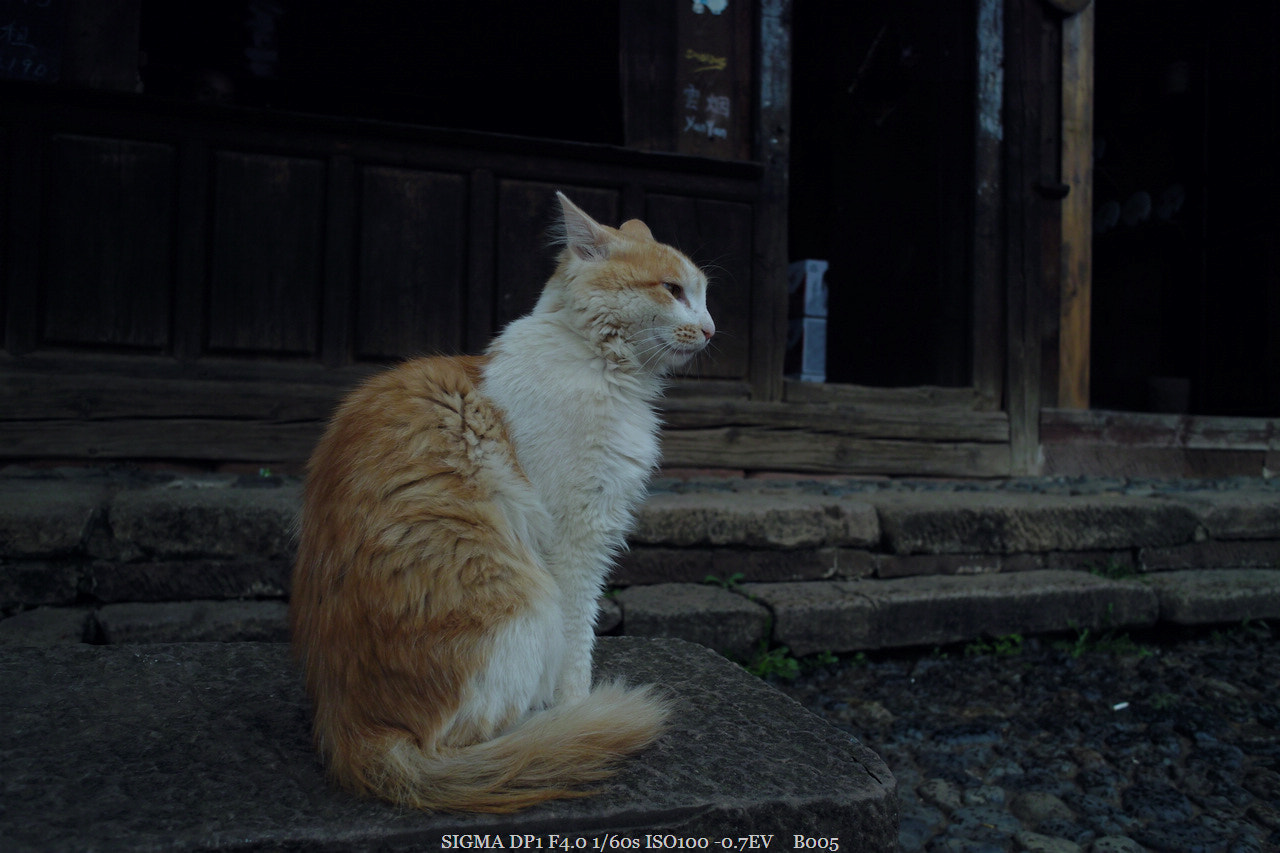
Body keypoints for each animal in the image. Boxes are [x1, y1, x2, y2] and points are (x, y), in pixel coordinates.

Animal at [288, 192, 721, 809]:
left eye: (704, 295)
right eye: (673, 290)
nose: (710, 329)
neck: (597, 364)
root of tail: (354, 735)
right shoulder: (577, 545)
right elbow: (578, 646)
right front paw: (578, 710)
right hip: (526, 601)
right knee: (470, 736)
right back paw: (555, 734)